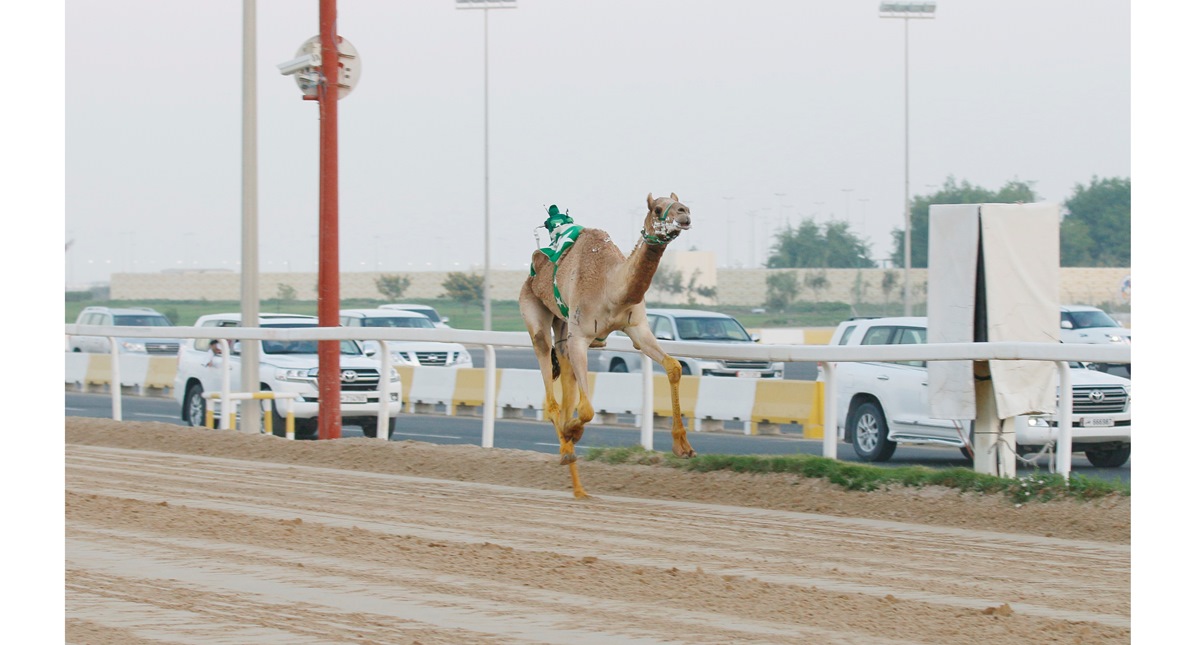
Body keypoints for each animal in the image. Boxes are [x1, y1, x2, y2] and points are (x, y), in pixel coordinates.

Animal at [516, 191, 696, 496]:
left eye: (681, 202)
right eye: (657, 208)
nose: (684, 213)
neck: (611, 288)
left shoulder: (637, 329)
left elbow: (673, 366)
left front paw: (683, 447)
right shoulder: (581, 337)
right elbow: (587, 409)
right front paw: (574, 432)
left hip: (562, 326)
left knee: (564, 387)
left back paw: (578, 487)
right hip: (534, 312)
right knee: (551, 393)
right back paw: (567, 449)